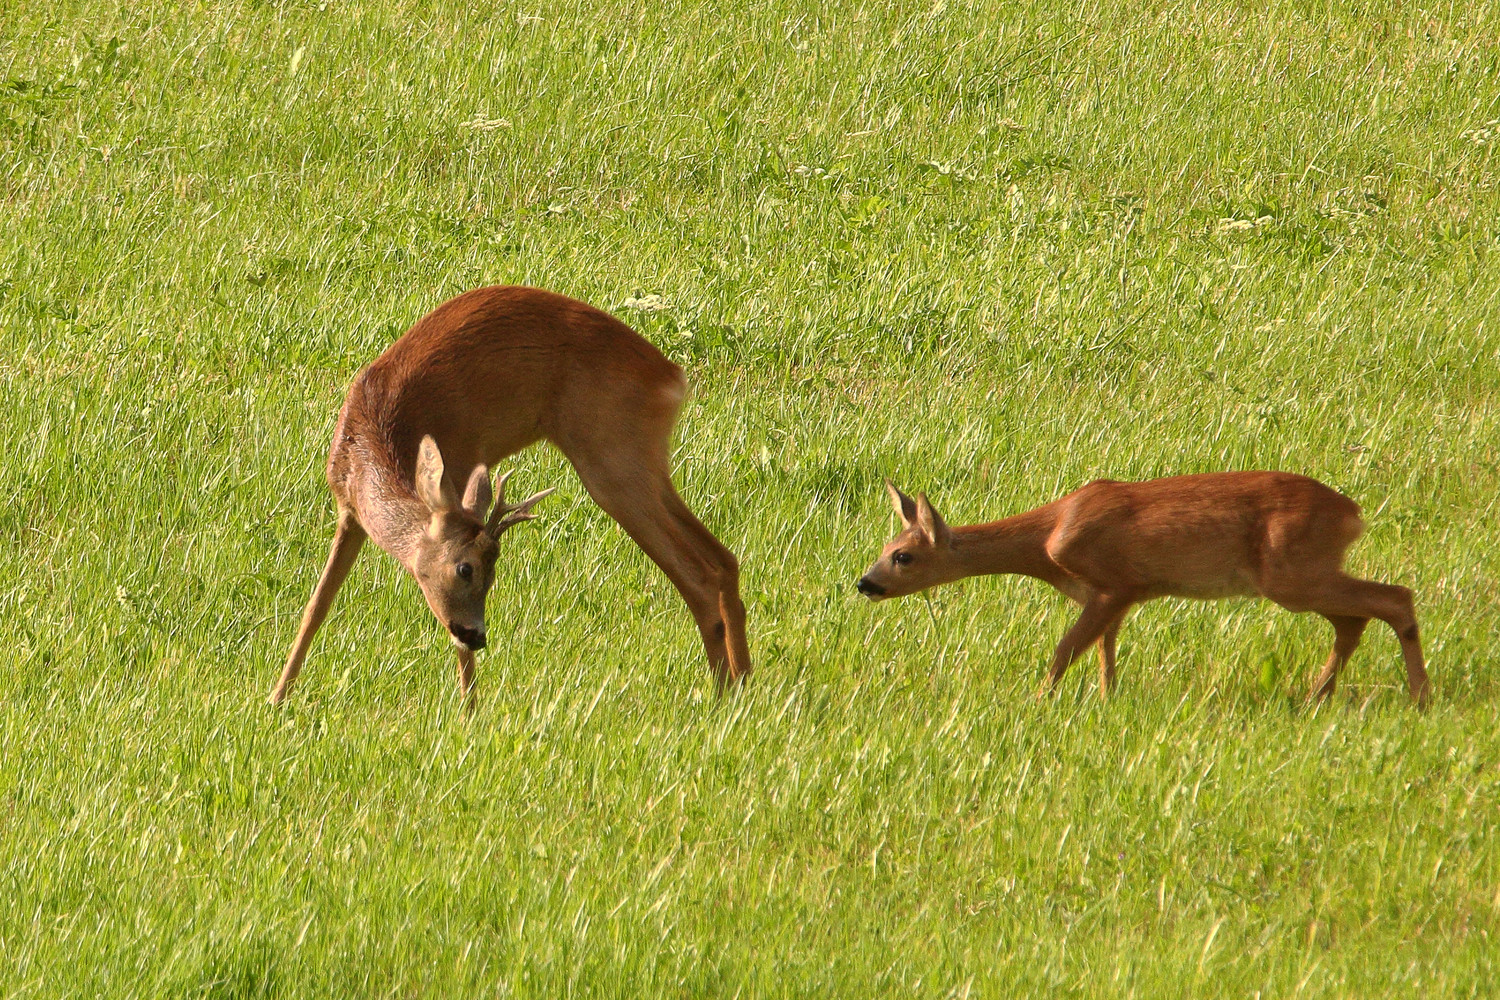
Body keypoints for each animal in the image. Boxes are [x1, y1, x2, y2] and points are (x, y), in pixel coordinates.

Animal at [270, 284, 750, 707]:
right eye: (467, 569)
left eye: (489, 570)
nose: (477, 634)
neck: (371, 443)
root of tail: (672, 378)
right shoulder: (349, 512)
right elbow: (317, 604)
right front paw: (277, 698)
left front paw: (469, 712)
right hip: (644, 461)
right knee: (724, 558)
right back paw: (743, 685)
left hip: (610, 459)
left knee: (697, 572)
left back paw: (723, 696)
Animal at [858, 476, 1428, 704]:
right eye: (885, 545)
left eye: (903, 556)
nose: (865, 583)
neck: (1048, 539)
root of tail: (1352, 514)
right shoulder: (1110, 596)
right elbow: (1105, 653)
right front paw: (1108, 700)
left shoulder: (1116, 583)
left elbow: (1066, 649)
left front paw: (1038, 701)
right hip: (1304, 574)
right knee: (1354, 619)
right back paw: (1316, 696)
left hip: (1291, 574)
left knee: (1394, 597)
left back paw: (1419, 696)